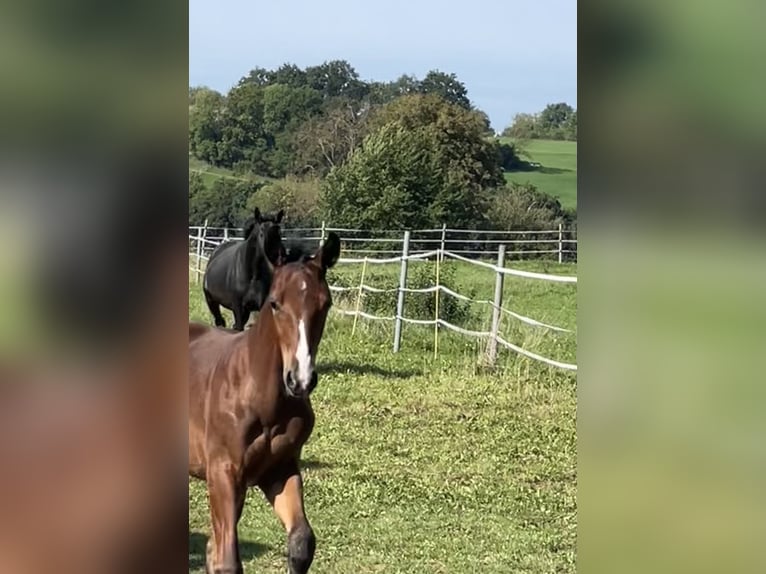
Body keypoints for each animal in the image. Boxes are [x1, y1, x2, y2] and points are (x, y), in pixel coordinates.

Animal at [189, 227, 341, 574]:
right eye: (275, 303)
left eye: (325, 304)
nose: (300, 379)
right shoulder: (223, 472)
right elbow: (227, 559)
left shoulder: (279, 469)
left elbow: (301, 543)